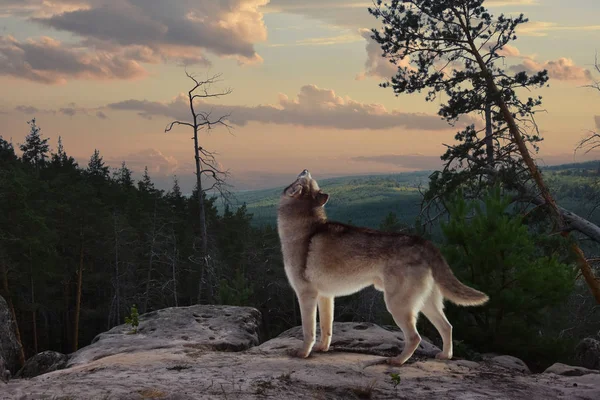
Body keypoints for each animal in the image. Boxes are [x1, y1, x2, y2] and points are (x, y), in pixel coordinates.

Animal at [276, 170, 488, 366]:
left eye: (303, 179)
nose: (306, 169)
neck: (304, 227)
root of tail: (424, 243)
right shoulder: (326, 297)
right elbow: (326, 329)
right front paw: (322, 349)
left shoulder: (306, 296)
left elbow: (308, 331)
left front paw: (303, 353)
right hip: (427, 304)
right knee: (447, 327)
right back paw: (445, 356)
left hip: (397, 305)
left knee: (415, 337)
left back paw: (397, 360)